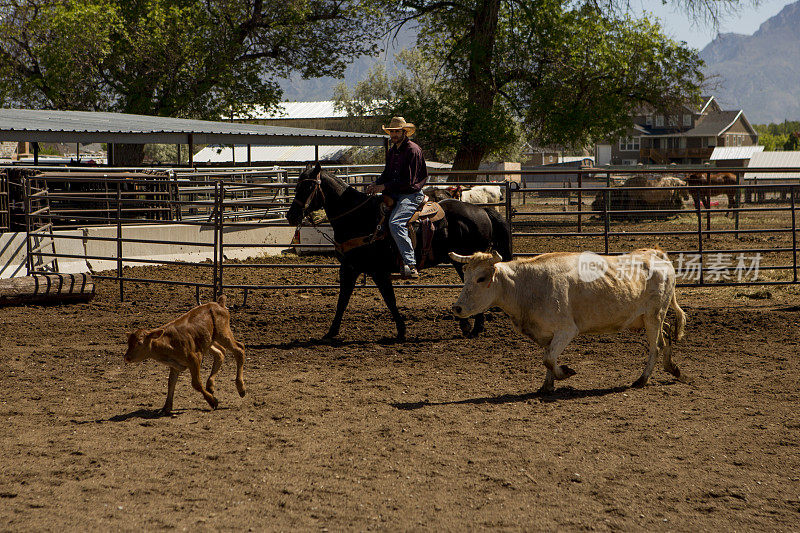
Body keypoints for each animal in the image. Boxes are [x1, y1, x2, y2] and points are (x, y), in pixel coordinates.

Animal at [288, 162, 512, 340]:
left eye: (309, 186)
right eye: (296, 185)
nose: (291, 216)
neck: (359, 218)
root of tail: (482, 210)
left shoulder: (377, 271)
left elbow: (389, 299)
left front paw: (401, 330)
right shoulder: (350, 268)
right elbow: (343, 300)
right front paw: (331, 332)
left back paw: (474, 328)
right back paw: (470, 326)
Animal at [450, 247, 688, 392]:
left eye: (481, 278)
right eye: (466, 275)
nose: (457, 308)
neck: (527, 286)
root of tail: (656, 255)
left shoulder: (566, 330)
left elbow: (548, 359)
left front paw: (565, 373)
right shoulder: (546, 334)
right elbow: (548, 358)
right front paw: (547, 386)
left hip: (653, 315)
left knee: (655, 347)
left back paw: (642, 379)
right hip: (649, 317)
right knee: (666, 335)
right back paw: (673, 368)